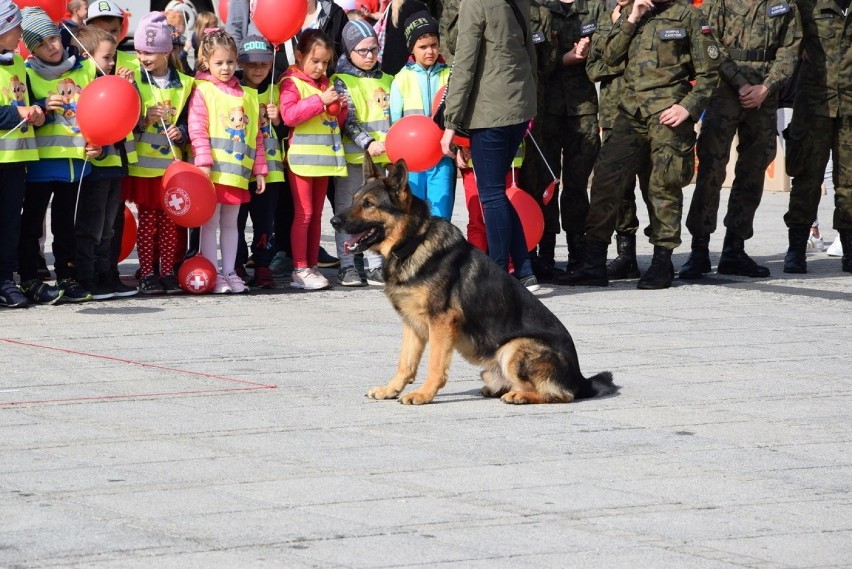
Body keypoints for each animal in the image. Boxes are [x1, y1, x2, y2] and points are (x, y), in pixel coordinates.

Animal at [330, 155, 616, 404]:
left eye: (369, 204)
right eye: (354, 200)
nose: (333, 221)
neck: (414, 241)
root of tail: (580, 380)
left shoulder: (441, 322)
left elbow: (434, 363)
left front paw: (424, 394)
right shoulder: (412, 324)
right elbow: (405, 362)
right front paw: (390, 389)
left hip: (512, 348)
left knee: (560, 394)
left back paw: (520, 395)